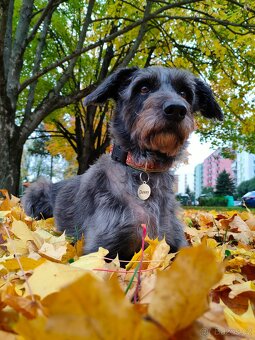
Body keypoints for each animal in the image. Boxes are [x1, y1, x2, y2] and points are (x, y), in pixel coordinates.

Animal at [22, 67, 223, 262]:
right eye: (143, 88)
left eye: (184, 93)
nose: (176, 109)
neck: (143, 167)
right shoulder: (100, 248)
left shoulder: (175, 242)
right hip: (37, 189)